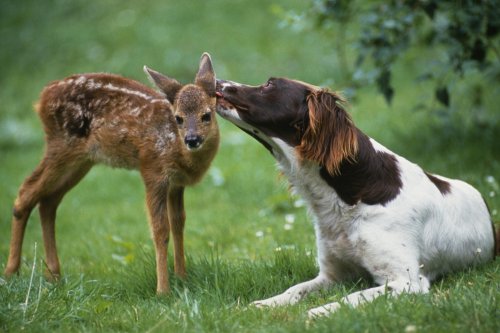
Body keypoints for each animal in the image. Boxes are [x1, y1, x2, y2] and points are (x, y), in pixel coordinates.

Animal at [217, 76, 498, 316]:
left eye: (269, 84)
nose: (217, 81)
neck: (348, 198)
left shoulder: (406, 281)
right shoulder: (332, 275)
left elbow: (351, 297)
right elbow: (295, 289)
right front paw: (264, 304)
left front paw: (317, 312)